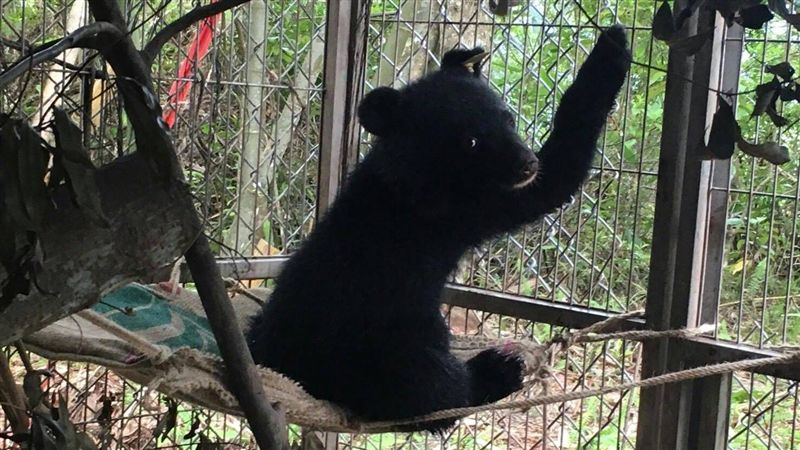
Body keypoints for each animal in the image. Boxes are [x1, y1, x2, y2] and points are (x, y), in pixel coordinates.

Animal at [247, 25, 630, 432]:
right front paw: (610, 51)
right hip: (384, 345)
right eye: (472, 140)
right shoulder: (461, 209)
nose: (527, 163)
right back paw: (497, 370)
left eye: (508, 119)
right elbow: (553, 181)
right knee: (431, 390)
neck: (427, 173)